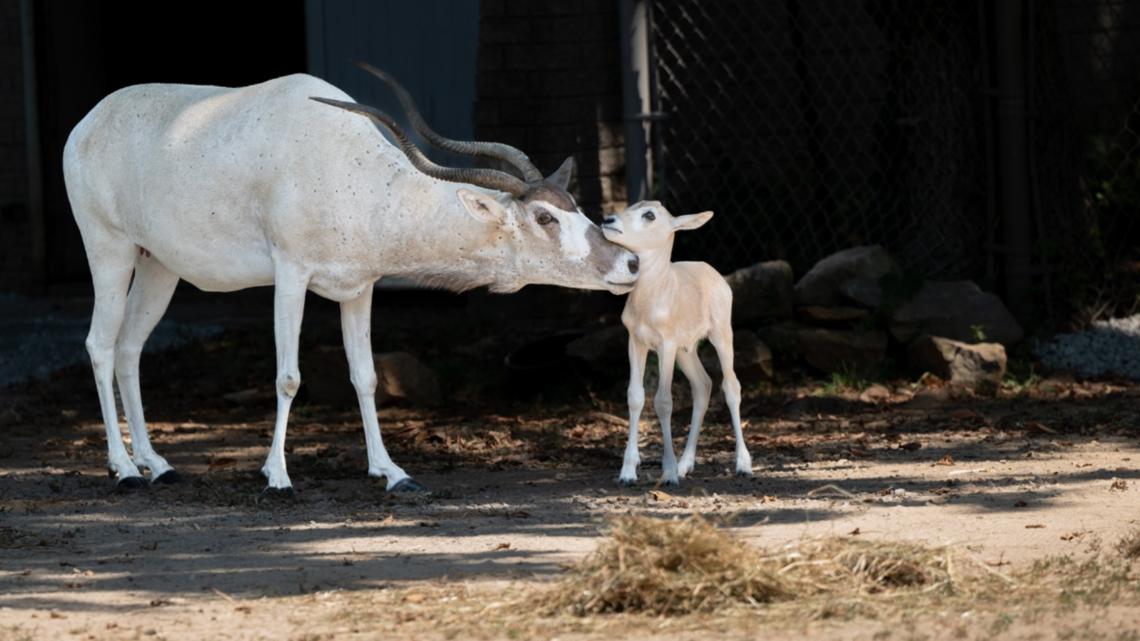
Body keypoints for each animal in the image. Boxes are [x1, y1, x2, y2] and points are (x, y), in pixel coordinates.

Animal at [64, 66, 642, 495]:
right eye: (545, 217)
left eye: (574, 206)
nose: (630, 264)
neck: (354, 171)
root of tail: (86, 124)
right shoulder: (291, 273)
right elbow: (288, 376)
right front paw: (277, 476)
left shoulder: (359, 287)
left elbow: (365, 377)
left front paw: (393, 473)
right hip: (109, 249)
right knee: (99, 344)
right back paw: (124, 470)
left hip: (158, 265)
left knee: (130, 348)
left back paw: (157, 465)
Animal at [601, 200, 752, 483]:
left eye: (649, 215)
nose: (608, 220)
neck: (650, 301)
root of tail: (710, 271)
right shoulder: (636, 342)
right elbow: (635, 396)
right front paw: (628, 472)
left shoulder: (666, 345)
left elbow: (663, 401)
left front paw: (669, 472)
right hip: (686, 351)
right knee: (703, 385)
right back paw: (686, 464)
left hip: (721, 335)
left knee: (731, 386)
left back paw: (743, 464)